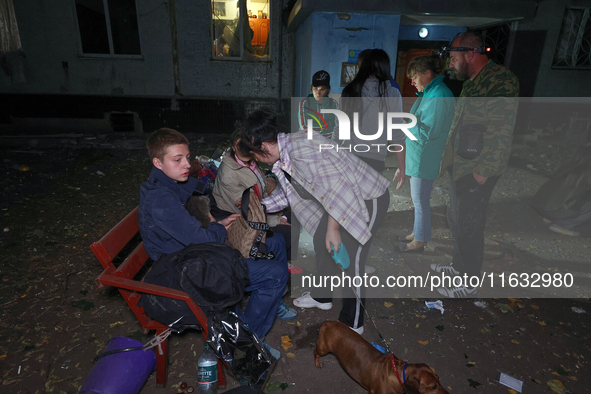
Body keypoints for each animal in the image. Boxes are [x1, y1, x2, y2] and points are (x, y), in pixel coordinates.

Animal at [314, 322, 448, 392]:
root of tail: (328, 323)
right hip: (323, 349)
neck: (398, 375)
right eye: (433, 386)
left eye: (439, 378)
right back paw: (317, 363)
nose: (447, 393)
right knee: (315, 352)